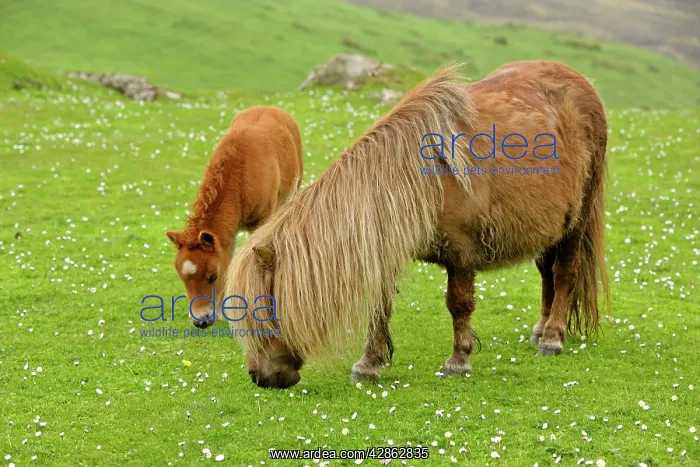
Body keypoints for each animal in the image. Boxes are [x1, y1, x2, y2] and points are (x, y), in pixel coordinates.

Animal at [166, 106, 303, 327]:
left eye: (213, 276)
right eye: (182, 278)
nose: (201, 321)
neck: (241, 174)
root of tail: (270, 107)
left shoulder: (262, 220)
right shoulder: (227, 235)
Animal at [224, 61, 610, 389]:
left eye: (264, 311)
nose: (260, 377)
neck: (420, 176)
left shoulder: (462, 254)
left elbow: (459, 305)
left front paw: (458, 361)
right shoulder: (385, 248)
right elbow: (379, 308)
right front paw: (369, 365)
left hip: (576, 223)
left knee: (564, 275)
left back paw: (552, 339)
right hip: (549, 229)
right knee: (547, 275)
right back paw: (540, 329)